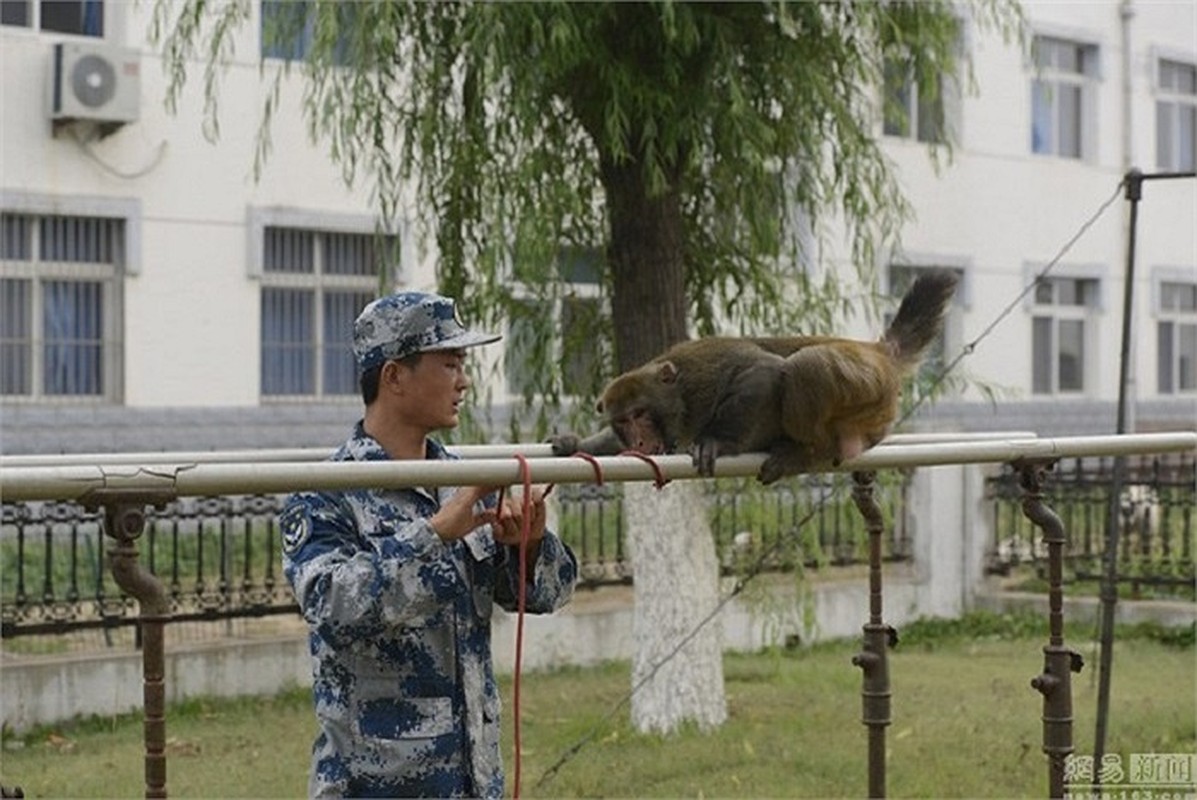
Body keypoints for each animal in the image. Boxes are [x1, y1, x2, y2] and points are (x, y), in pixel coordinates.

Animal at [553, 268, 962, 483]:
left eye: (640, 414)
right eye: (623, 421)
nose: (638, 441)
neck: (678, 401)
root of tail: (877, 351)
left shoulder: (700, 378)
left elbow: (765, 373)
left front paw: (717, 440)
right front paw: (574, 443)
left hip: (867, 384)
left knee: (805, 367)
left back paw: (810, 451)